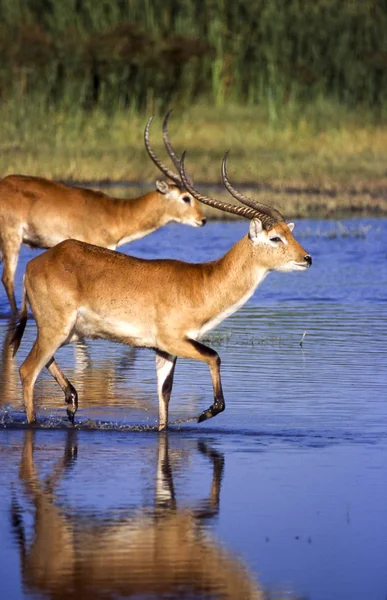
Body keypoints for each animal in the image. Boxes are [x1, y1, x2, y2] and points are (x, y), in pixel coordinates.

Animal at [10, 152, 312, 428]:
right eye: (275, 238)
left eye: (290, 233)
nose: (307, 258)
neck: (201, 283)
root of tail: (36, 263)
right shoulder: (174, 341)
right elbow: (215, 357)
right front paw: (205, 413)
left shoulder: (165, 352)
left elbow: (164, 399)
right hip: (57, 329)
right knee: (27, 370)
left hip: (68, 332)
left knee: (42, 362)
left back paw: (72, 400)